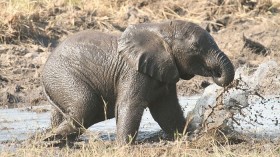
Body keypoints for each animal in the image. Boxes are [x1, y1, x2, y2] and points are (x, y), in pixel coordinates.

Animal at [41, 19, 234, 145]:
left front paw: (189, 136)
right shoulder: (134, 72)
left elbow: (167, 111)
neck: (160, 29)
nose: (214, 74)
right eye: (195, 47)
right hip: (64, 75)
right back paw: (50, 139)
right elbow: (129, 105)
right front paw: (123, 147)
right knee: (86, 105)